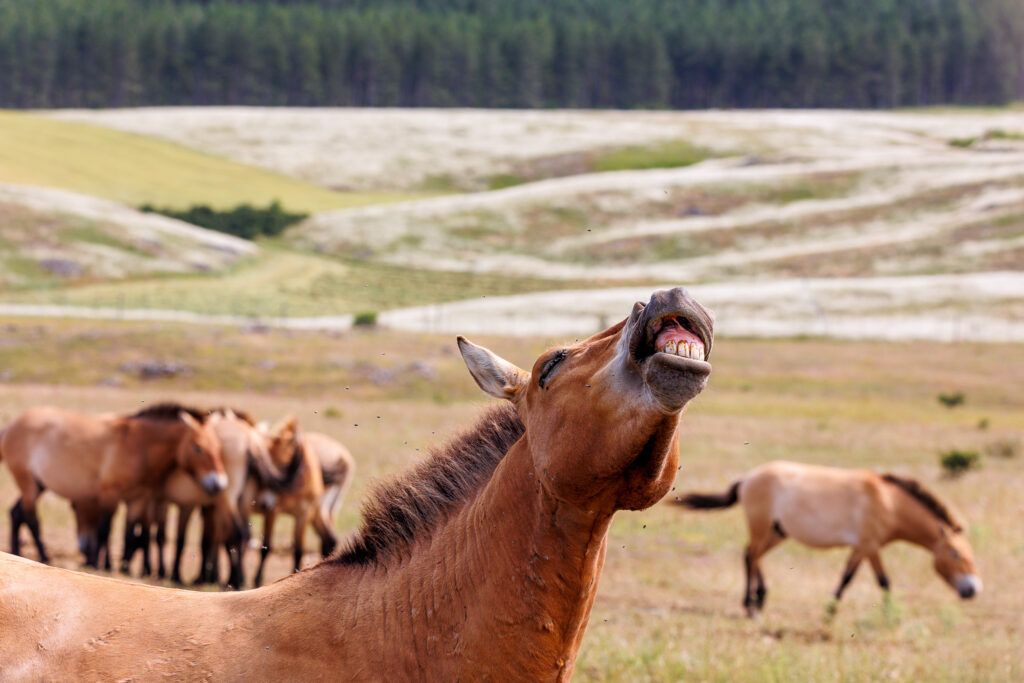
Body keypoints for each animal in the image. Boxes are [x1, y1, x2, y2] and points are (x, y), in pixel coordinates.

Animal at [0, 403, 227, 568]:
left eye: (218, 447)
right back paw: (45, 557)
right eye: (198, 448)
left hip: (39, 485)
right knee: (31, 519)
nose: (220, 483)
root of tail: (11, 426)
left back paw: (17, 553)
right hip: (28, 482)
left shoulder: (138, 498)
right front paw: (100, 565)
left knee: (16, 512)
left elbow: (129, 532)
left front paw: (124, 566)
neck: (138, 445)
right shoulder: (110, 494)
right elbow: (104, 529)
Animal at [244, 416, 355, 586]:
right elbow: (266, 547)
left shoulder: (304, 514)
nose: (265, 501)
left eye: (282, 461)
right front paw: (257, 580)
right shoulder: (274, 512)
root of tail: (343, 459)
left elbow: (298, 550)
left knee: (329, 539)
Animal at [676, 460, 982, 616]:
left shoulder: (863, 548)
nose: (973, 590)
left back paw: (760, 600)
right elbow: (876, 581)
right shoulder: (869, 546)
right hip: (762, 528)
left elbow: (851, 577)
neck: (889, 502)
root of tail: (747, 478)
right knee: (751, 556)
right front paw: (886, 614)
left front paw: (833, 608)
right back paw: (751, 606)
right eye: (957, 555)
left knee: (752, 556)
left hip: (777, 532)